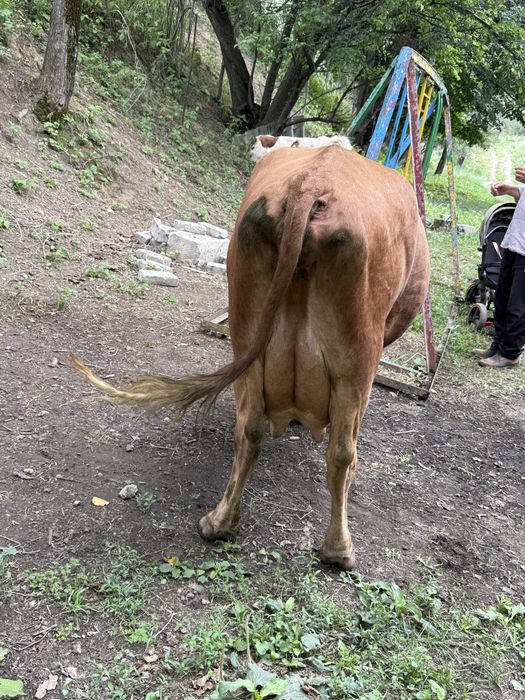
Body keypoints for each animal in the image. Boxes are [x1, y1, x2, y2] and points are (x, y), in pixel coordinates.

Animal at [70, 144, 429, 570]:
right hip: (356, 365)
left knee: (251, 429)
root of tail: (312, 183)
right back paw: (339, 550)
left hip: (247, 338)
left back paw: (219, 523)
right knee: (342, 453)